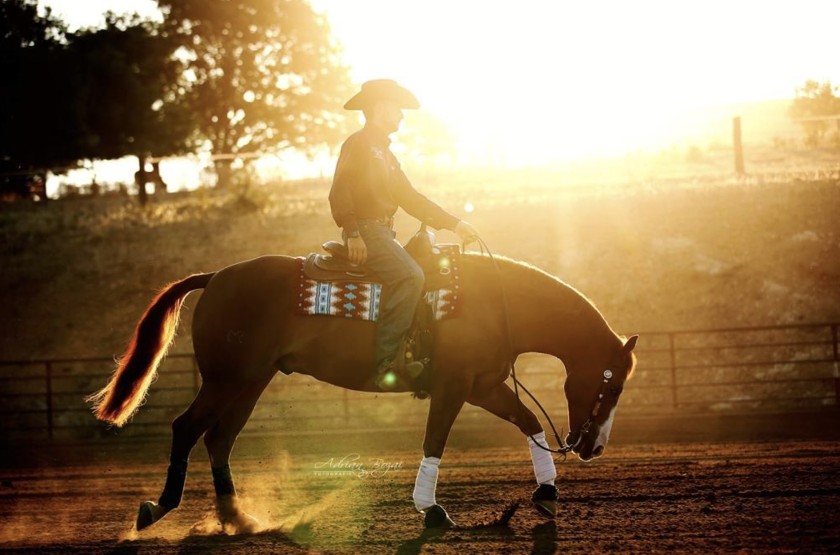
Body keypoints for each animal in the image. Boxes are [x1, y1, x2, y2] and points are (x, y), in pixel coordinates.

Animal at [88, 249, 636, 536]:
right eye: (612, 384)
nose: (594, 448)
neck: (492, 301)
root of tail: (217, 276)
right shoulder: (454, 386)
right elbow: (435, 442)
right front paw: (431, 509)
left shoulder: (484, 385)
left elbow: (529, 423)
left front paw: (547, 494)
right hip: (228, 379)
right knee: (187, 428)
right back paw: (159, 509)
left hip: (250, 382)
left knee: (218, 440)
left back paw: (237, 518)